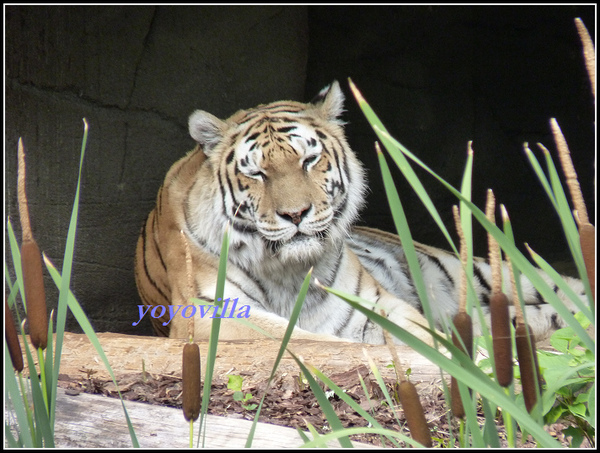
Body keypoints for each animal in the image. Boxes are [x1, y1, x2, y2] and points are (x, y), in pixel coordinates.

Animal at [135, 81, 584, 344]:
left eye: (308, 160)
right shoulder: (214, 316)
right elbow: (305, 341)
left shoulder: (376, 305)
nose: (295, 215)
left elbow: (415, 337)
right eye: (257, 173)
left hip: (482, 272)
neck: (287, 273)